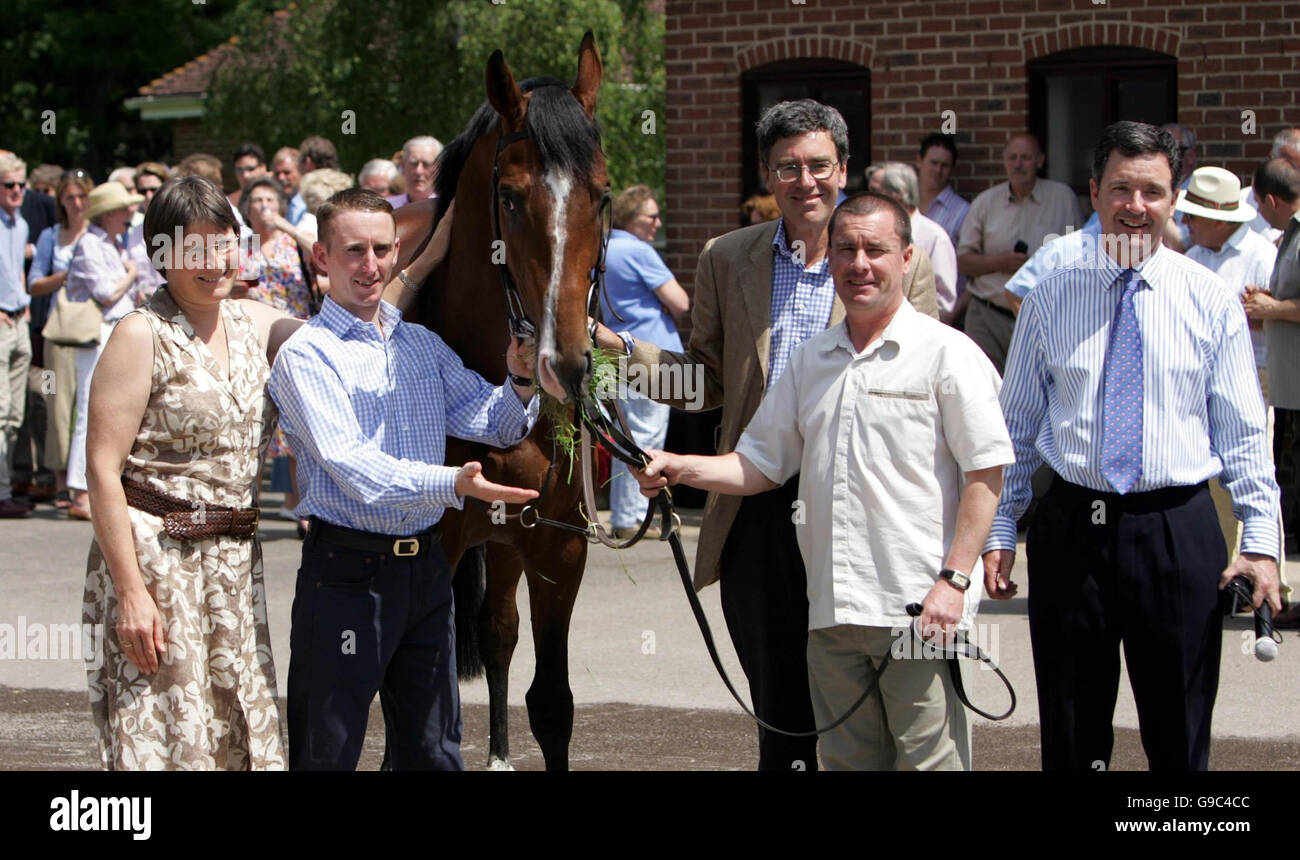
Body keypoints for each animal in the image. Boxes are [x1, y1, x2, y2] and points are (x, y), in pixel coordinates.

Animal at [390, 35, 608, 774]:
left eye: (603, 195)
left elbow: (553, 704)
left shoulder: (558, 545)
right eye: (510, 199)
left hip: (512, 537)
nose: (566, 363)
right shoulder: (432, 547)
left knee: (498, 632)